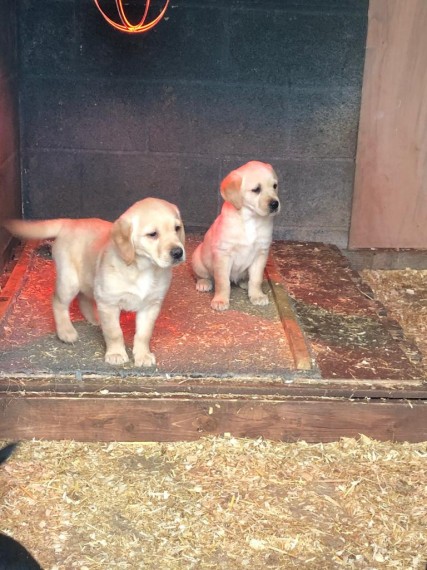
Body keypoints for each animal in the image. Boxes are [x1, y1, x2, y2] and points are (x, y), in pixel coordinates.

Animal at [4, 197, 186, 366]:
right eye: (152, 234)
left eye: (177, 228)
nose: (178, 252)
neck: (143, 268)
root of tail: (70, 222)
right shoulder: (109, 302)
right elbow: (114, 332)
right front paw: (116, 353)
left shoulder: (150, 305)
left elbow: (144, 334)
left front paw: (143, 355)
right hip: (69, 281)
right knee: (58, 301)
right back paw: (65, 331)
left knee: (84, 298)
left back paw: (95, 319)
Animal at [193, 160, 280, 310]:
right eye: (256, 189)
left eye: (275, 186)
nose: (275, 204)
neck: (251, 219)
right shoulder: (223, 254)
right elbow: (223, 282)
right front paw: (221, 300)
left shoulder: (261, 254)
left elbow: (256, 279)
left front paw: (257, 295)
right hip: (197, 259)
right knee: (204, 275)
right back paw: (204, 283)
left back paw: (245, 282)